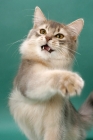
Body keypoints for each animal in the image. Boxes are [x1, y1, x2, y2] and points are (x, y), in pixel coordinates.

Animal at [8, 6, 93, 140]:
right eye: (42, 31)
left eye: (59, 36)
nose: (48, 38)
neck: (48, 65)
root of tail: (77, 117)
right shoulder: (27, 80)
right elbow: (48, 77)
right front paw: (70, 80)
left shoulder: (56, 127)